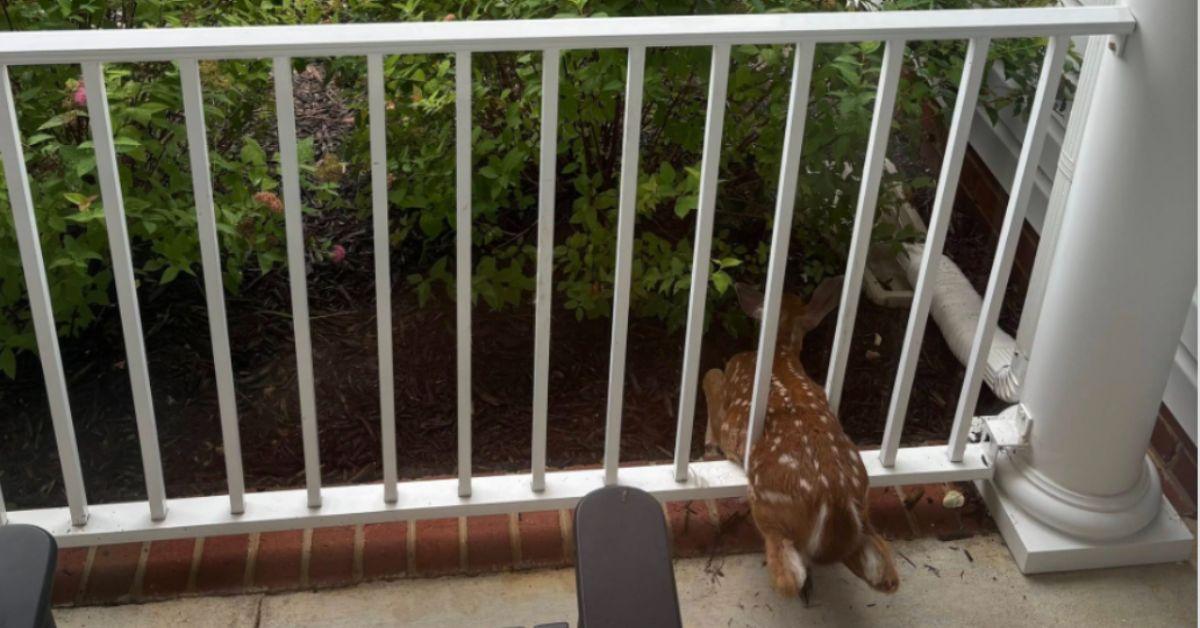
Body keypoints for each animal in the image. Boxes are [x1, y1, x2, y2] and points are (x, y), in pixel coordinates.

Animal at [702, 277, 899, 602]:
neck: (779, 352)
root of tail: (835, 503)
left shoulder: (729, 405)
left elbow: (712, 377)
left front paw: (708, 446)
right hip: (864, 513)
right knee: (885, 574)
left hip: (767, 507)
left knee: (788, 575)